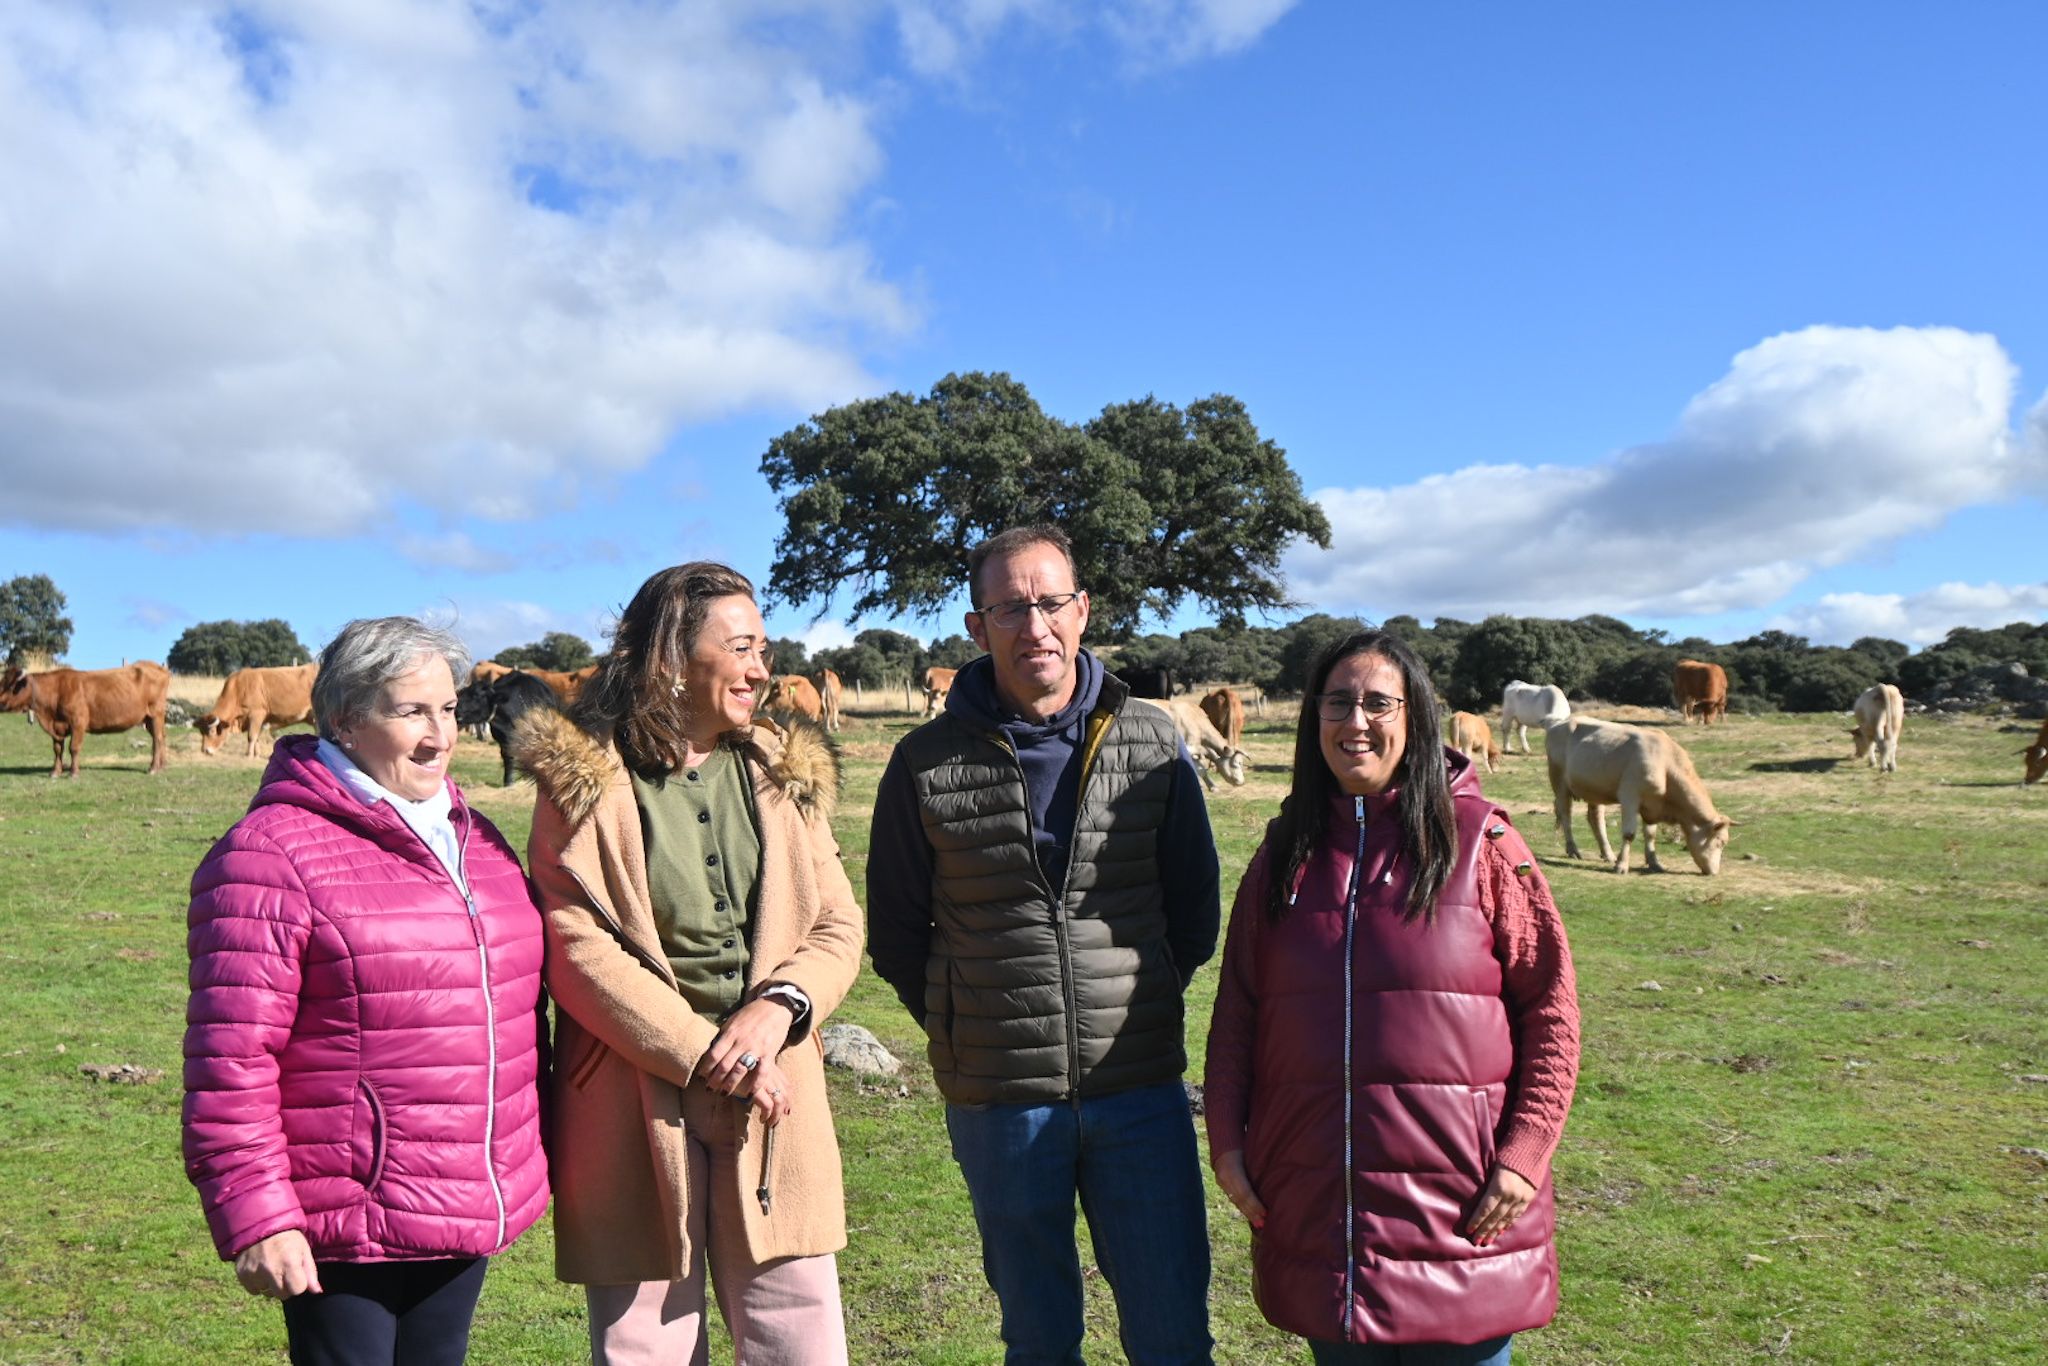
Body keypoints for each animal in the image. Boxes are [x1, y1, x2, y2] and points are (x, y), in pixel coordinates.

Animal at [0, 663, 171, 778]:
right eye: (2, 683)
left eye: (12, 686)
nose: (0, 702)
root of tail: (155, 666)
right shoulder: (57, 727)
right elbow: (57, 749)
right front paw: (55, 772)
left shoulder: (78, 722)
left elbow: (74, 748)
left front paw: (74, 773)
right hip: (149, 719)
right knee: (161, 738)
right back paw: (161, 766)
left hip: (155, 714)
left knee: (157, 739)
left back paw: (153, 768)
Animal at [1540, 716, 1736, 876]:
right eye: (1720, 842)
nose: (1714, 872)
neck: (1665, 765)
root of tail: (1560, 722)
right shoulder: (1630, 797)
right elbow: (1629, 834)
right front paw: (1622, 865)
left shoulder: (1651, 804)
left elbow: (1650, 834)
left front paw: (1654, 862)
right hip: (1559, 782)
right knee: (1566, 815)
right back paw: (1573, 850)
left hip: (1594, 790)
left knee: (1595, 819)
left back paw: (1608, 854)